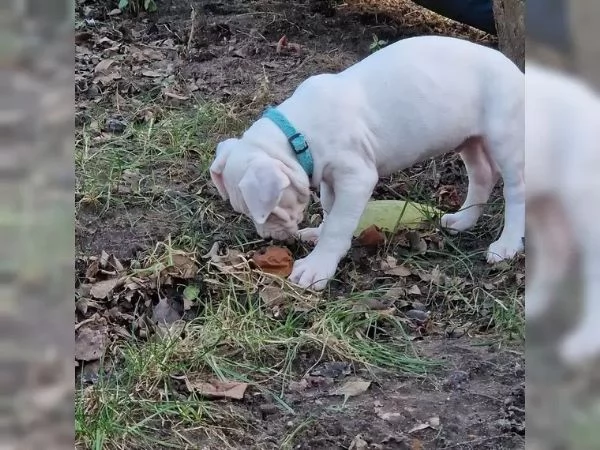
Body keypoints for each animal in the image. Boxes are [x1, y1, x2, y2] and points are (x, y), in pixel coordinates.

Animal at [211, 37, 524, 294]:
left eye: (269, 213)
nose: (269, 237)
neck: (298, 135)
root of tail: (517, 72)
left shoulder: (356, 179)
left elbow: (338, 224)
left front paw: (317, 267)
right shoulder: (330, 179)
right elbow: (330, 210)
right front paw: (318, 234)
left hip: (505, 138)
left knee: (515, 191)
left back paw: (507, 244)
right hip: (468, 139)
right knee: (482, 175)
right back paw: (463, 220)